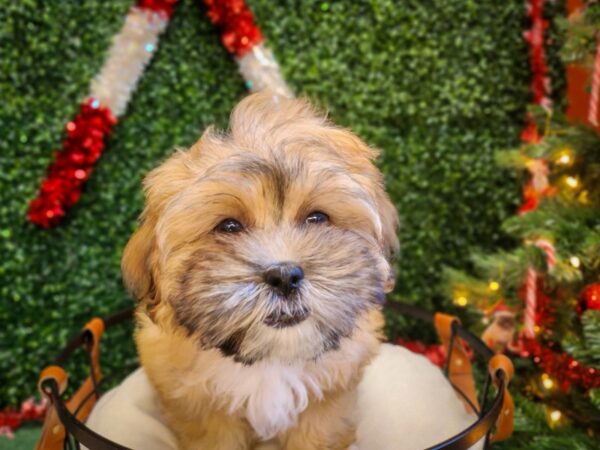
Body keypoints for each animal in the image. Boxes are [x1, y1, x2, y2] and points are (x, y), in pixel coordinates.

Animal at [121, 92, 398, 450]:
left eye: (317, 218)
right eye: (229, 226)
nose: (285, 276)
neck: (271, 360)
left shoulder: (332, 394)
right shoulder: (199, 406)